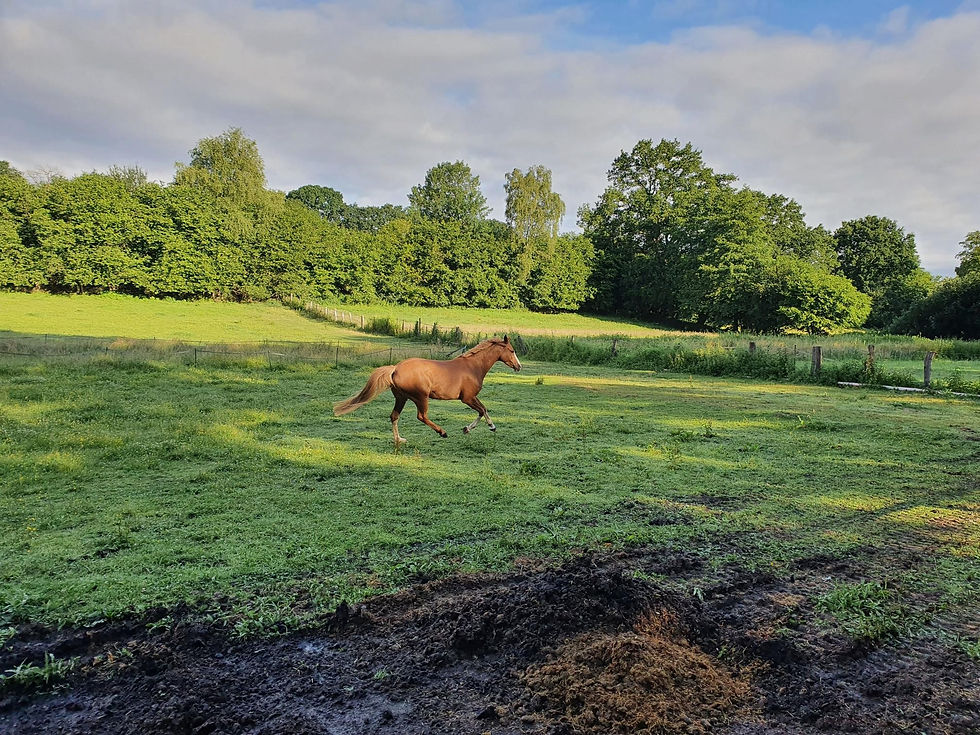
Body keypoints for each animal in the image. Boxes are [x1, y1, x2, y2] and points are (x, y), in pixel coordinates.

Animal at [333, 336, 522, 444]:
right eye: (512, 350)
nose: (519, 366)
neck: (473, 367)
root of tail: (395, 368)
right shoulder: (467, 398)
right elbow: (483, 410)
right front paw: (489, 427)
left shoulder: (470, 398)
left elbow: (483, 410)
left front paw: (468, 429)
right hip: (421, 397)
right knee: (421, 416)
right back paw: (442, 432)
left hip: (401, 398)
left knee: (394, 416)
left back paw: (399, 440)